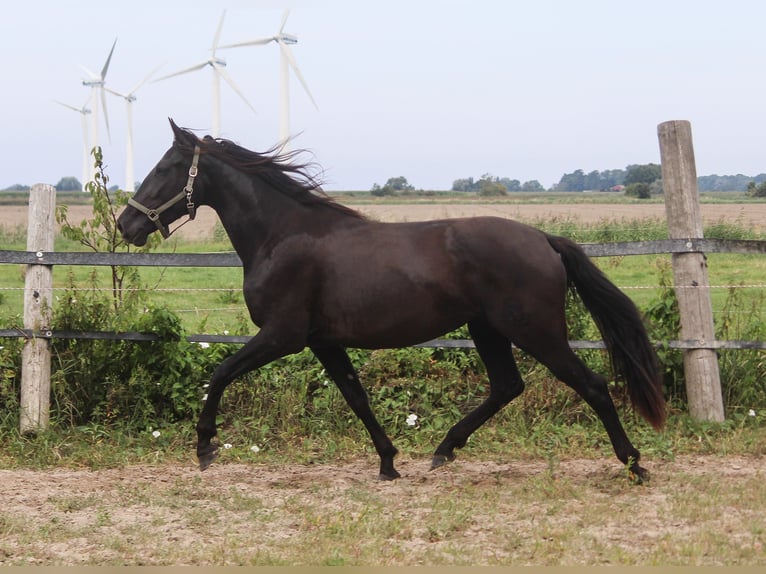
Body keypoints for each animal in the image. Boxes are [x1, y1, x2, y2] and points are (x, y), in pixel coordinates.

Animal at [118, 124, 664, 484]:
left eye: (166, 167)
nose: (127, 223)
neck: (283, 235)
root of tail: (544, 240)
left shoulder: (282, 335)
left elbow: (221, 372)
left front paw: (205, 446)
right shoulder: (322, 342)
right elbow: (356, 397)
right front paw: (388, 463)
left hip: (535, 331)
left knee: (592, 385)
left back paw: (634, 464)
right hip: (488, 330)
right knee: (507, 386)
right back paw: (443, 450)